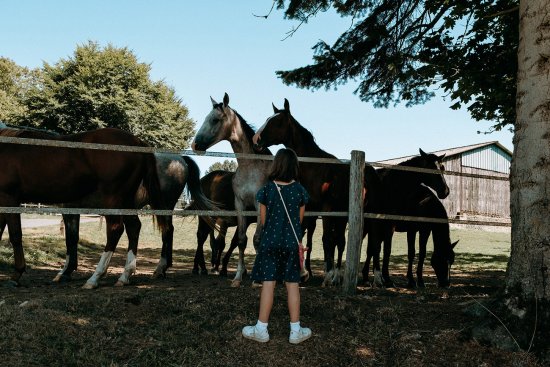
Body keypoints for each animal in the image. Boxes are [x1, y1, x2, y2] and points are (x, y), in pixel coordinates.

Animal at [254, 99, 380, 286]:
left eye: (276, 121)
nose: (256, 139)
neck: (315, 167)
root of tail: (371, 171)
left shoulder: (326, 210)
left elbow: (327, 241)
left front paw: (327, 276)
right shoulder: (309, 210)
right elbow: (304, 236)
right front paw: (303, 274)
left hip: (370, 215)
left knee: (373, 243)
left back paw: (375, 278)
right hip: (344, 216)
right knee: (343, 242)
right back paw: (342, 275)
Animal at [362, 149, 452, 288]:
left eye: (442, 168)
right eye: (442, 259)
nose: (445, 191)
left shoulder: (420, 230)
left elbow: (417, 253)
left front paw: (416, 281)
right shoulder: (389, 226)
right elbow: (387, 250)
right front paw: (388, 279)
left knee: (370, 249)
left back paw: (366, 276)